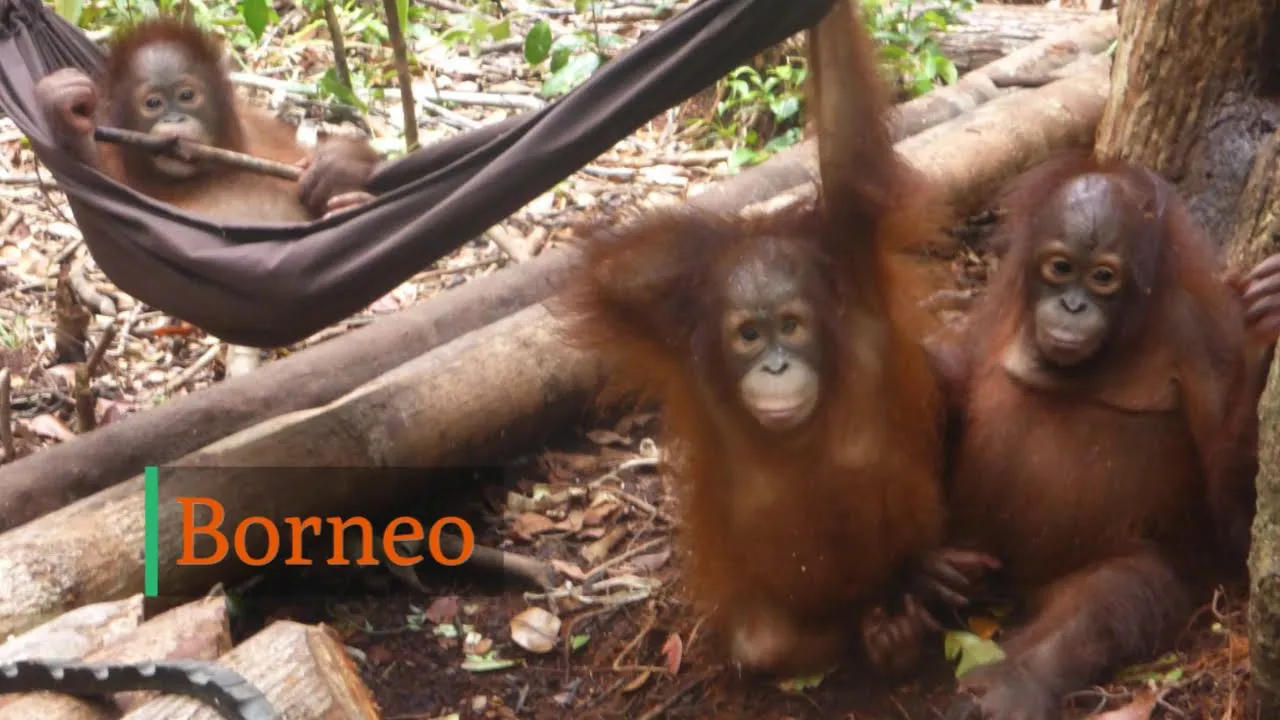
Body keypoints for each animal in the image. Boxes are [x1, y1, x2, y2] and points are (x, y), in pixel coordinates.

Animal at [34, 17, 379, 223]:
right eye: (153, 103)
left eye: (187, 95)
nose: (175, 119)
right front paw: (67, 108)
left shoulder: (258, 126)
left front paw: (335, 163)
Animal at [554, 0, 997, 678]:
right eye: (748, 334)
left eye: (790, 326)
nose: (777, 366)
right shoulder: (679, 339)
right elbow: (618, 275)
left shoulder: (855, 271)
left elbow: (847, 160)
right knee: (769, 642)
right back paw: (888, 628)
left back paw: (920, 585)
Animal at [934, 151, 1280, 720]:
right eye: (1060, 268)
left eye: (1102, 277)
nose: (1073, 306)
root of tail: (1015, 587)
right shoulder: (995, 308)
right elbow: (957, 376)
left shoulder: (1198, 336)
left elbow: (1234, 527)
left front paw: (1261, 342)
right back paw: (904, 607)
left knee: (1111, 592)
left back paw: (1008, 685)